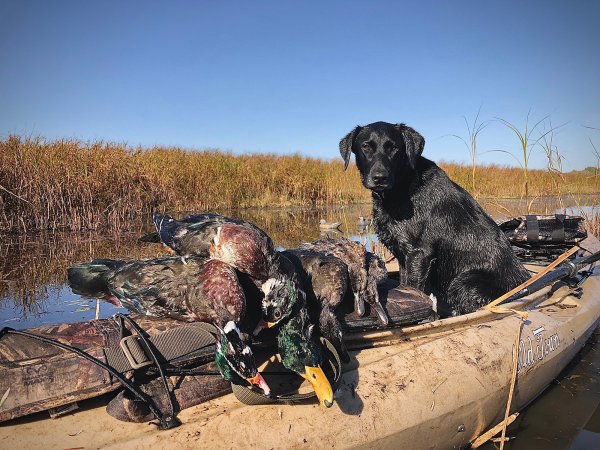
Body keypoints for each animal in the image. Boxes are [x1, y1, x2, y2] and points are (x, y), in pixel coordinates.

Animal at [340, 121, 528, 314]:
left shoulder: (419, 253)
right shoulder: (404, 255)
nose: (380, 177)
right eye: (366, 147)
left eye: (394, 148)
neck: (403, 186)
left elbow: (414, 288)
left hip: (465, 281)